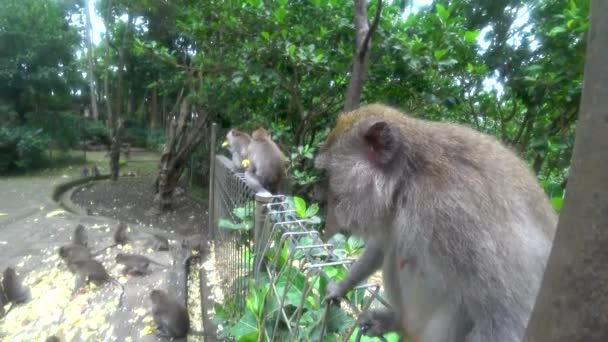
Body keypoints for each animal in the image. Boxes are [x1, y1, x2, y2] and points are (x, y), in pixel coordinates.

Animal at [316, 105, 560, 342]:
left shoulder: (458, 216)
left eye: (329, 173)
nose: (326, 195)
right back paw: (395, 320)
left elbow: (506, 319)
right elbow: (381, 245)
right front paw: (341, 286)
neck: (409, 178)